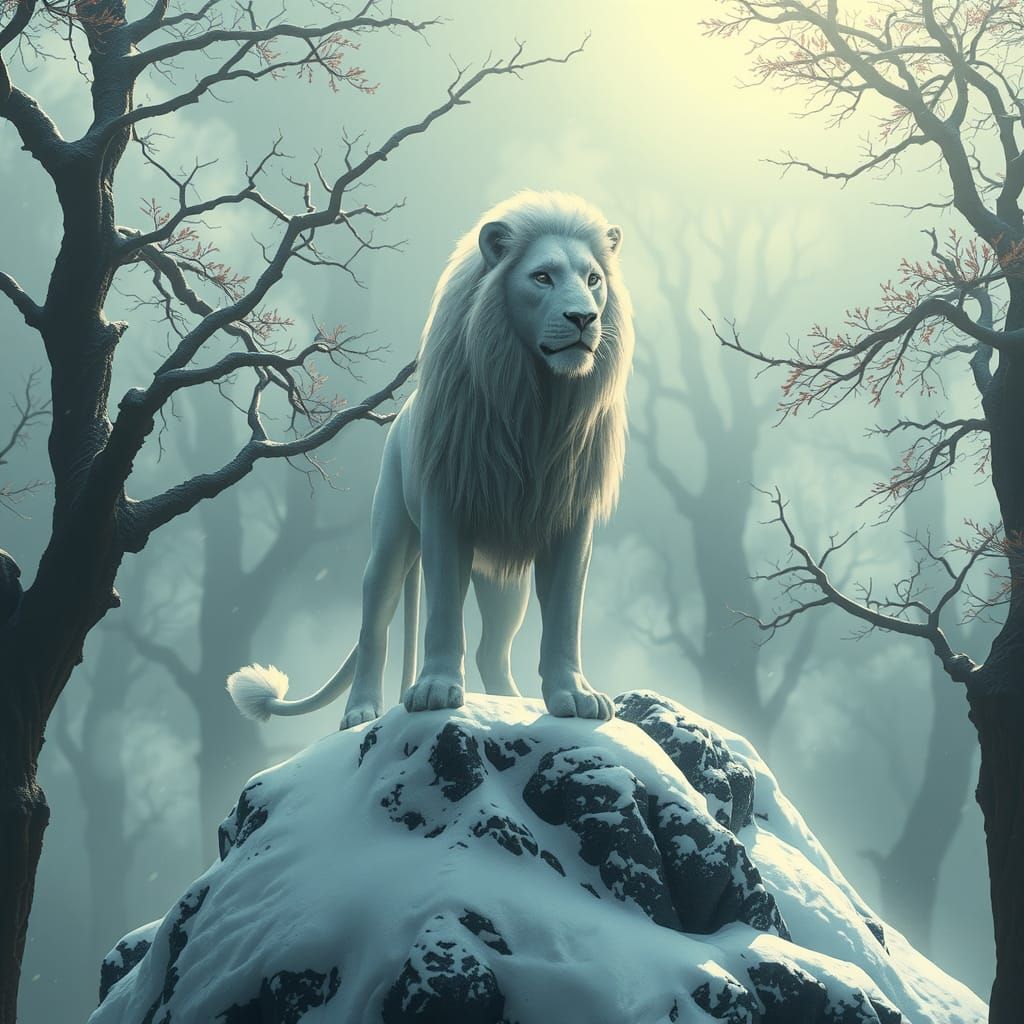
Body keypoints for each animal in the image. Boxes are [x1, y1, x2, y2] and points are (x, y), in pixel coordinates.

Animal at [227, 191, 634, 729]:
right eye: (542, 277)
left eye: (593, 280)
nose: (584, 319)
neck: (535, 402)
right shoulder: (446, 508)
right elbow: (442, 611)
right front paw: (436, 690)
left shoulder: (572, 520)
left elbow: (566, 614)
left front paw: (574, 696)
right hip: (389, 544)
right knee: (374, 630)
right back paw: (361, 712)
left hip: (504, 580)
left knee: (491, 650)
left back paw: (511, 701)